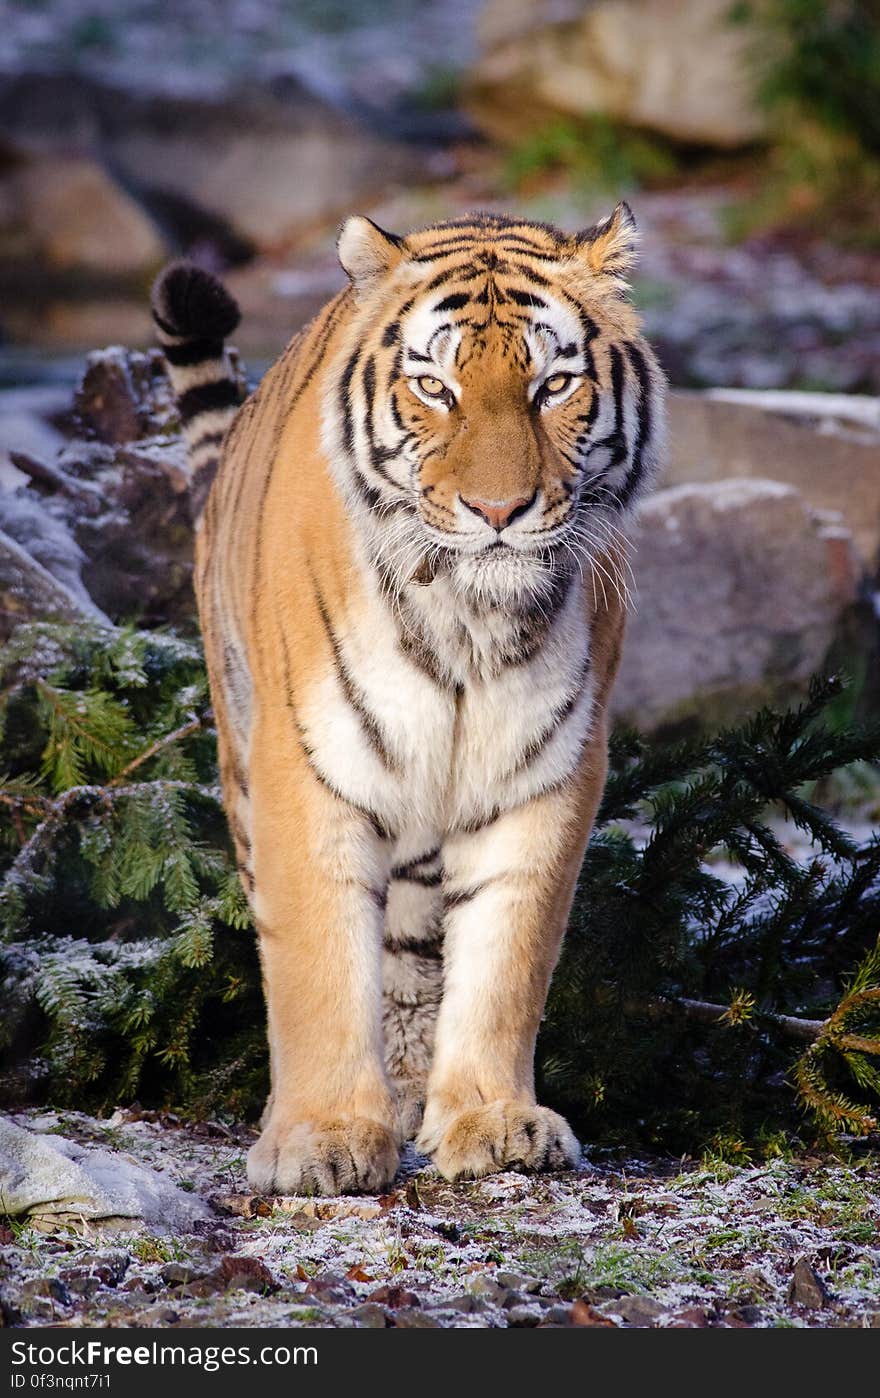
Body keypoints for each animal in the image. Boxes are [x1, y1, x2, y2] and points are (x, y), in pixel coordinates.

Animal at [154, 204, 665, 1191]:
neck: (469, 620)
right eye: (435, 386)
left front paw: (491, 1120)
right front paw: (320, 1137)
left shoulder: (548, 772)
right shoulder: (307, 769)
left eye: (553, 385)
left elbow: (506, 958)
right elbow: (316, 960)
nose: (499, 512)